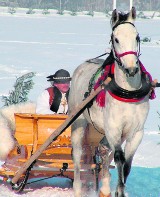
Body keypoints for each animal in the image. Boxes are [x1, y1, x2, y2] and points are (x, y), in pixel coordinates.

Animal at [68, 6, 152, 196]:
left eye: (137, 37)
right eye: (116, 39)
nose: (131, 69)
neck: (128, 92)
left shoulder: (136, 132)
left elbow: (127, 164)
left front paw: (117, 190)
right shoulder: (114, 128)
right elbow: (120, 158)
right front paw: (119, 191)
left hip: (103, 131)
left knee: (104, 152)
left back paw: (104, 186)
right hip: (79, 122)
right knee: (77, 155)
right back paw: (77, 187)